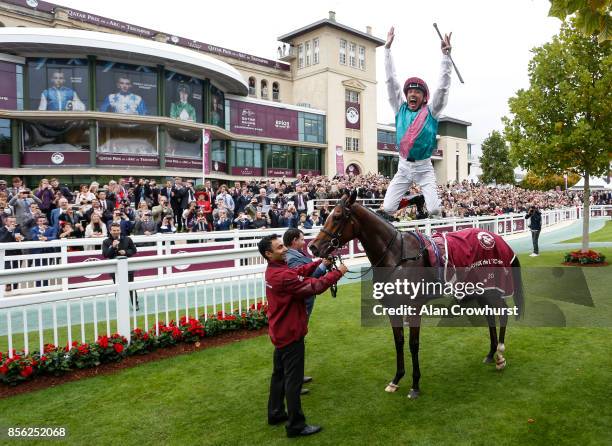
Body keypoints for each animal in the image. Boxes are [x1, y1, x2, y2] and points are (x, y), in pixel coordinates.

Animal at [310, 190, 524, 398]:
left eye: (337, 217)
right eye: (326, 215)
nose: (313, 246)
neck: (396, 256)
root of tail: (495, 237)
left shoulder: (414, 306)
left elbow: (413, 344)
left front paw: (415, 385)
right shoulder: (392, 307)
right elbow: (398, 341)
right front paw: (396, 379)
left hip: (493, 288)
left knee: (503, 313)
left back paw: (500, 355)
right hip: (481, 290)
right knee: (490, 317)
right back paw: (490, 353)